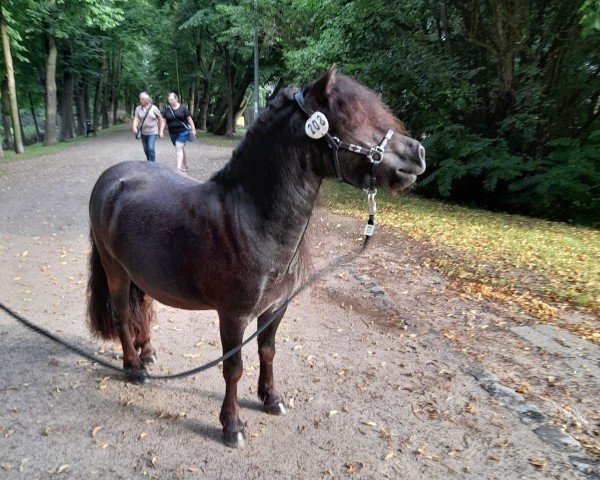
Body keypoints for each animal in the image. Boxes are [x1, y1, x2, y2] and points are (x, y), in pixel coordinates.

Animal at [88, 66, 426, 446]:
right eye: (352, 117)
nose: (417, 154)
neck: (250, 222)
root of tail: (111, 179)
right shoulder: (233, 316)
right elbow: (233, 369)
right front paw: (232, 425)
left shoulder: (275, 308)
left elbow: (268, 352)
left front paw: (271, 399)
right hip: (115, 270)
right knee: (121, 315)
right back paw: (134, 368)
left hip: (141, 273)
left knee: (142, 307)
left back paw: (148, 354)